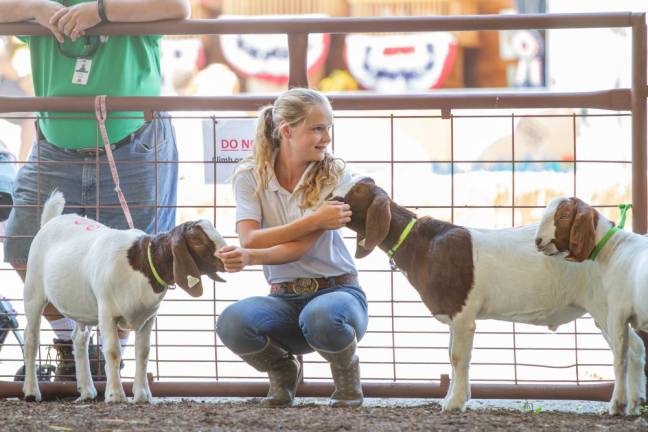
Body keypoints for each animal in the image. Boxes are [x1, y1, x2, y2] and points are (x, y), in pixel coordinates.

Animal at [336, 180, 644, 416]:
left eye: (357, 191)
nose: (332, 198)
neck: (423, 245)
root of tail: (614, 240)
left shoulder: (462, 313)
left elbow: (458, 356)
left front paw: (454, 403)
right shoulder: (454, 316)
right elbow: (450, 354)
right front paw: (454, 397)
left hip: (606, 307)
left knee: (626, 350)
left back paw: (619, 406)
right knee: (637, 348)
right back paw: (635, 403)